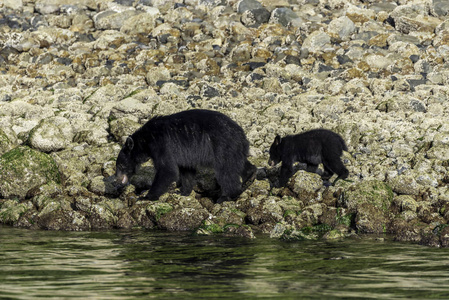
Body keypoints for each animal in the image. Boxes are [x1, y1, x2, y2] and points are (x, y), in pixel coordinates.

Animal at [115, 109, 256, 203]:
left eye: (121, 165)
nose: (117, 179)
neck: (146, 139)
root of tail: (242, 134)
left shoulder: (161, 144)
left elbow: (167, 170)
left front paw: (147, 196)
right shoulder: (184, 154)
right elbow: (186, 169)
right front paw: (182, 191)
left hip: (223, 145)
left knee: (226, 171)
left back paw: (226, 196)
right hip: (234, 148)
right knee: (238, 163)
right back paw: (250, 176)